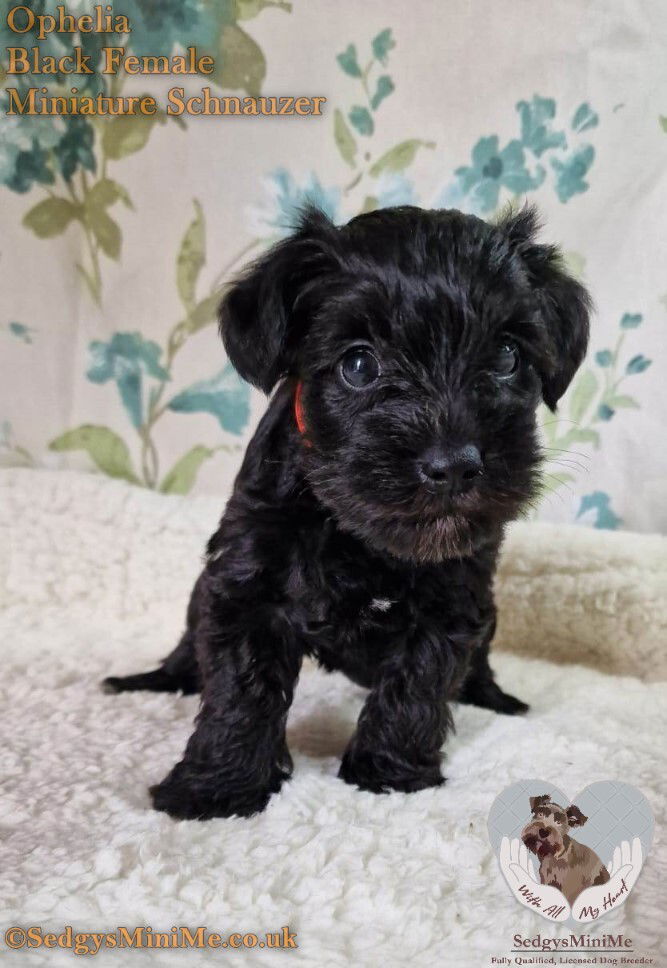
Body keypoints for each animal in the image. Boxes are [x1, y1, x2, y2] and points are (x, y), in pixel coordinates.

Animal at [104, 204, 588, 816]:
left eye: (507, 355)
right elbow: (240, 689)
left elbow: (417, 682)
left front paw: (388, 771)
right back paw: (155, 678)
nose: (454, 464)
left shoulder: (453, 598)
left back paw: (493, 695)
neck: (360, 535)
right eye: (358, 365)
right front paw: (217, 786)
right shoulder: (248, 581)